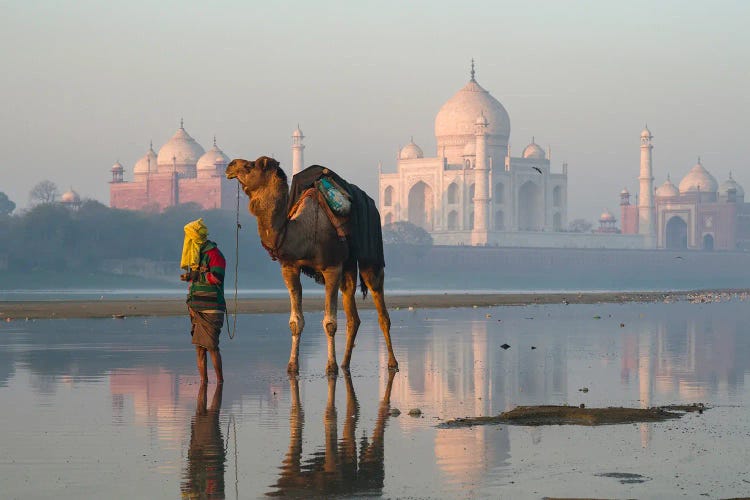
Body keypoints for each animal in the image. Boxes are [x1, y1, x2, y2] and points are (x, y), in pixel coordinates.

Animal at [225, 156, 396, 376]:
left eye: (250, 165)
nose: (230, 165)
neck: (303, 233)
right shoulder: (289, 267)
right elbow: (295, 322)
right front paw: (292, 366)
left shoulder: (331, 268)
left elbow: (330, 323)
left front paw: (330, 367)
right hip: (348, 264)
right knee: (352, 314)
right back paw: (345, 363)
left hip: (369, 254)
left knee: (380, 307)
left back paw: (392, 363)